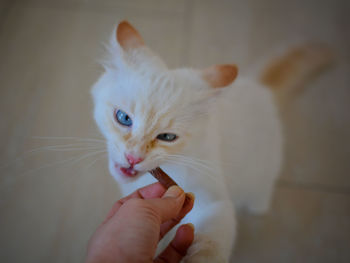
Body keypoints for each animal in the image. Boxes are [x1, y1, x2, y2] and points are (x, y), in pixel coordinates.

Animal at [91, 20, 332, 262]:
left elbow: (209, 243)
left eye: (167, 137)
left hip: (262, 170)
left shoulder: (213, 201)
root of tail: (259, 87)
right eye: (123, 118)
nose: (133, 157)